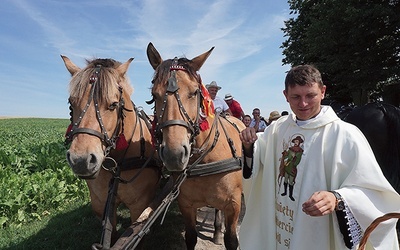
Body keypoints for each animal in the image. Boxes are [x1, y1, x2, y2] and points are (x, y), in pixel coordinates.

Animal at [60, 55, 160, 246]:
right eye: (71, 103)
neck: (118, 164)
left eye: (113, 105)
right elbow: (111, 235)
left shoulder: (139, 205)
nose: (81, 161)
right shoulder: (101, 204)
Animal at [145, 43, 242, 250]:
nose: (174, 155)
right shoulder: (186, 204)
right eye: (154, 95)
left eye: (194, 92)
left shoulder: (233, 204)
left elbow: (231, 240)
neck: (205, 158)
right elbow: (190, 237)